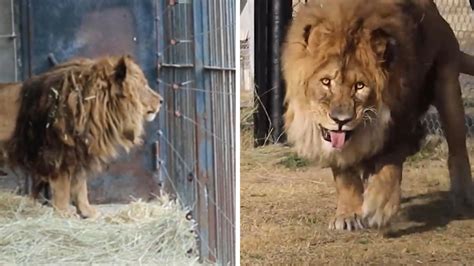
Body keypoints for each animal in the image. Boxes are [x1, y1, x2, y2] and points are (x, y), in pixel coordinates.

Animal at [4, 55, 163, 218]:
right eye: (144, 85)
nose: (162, 100)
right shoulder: (58, 153)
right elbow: (62, 188)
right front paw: (64, 212)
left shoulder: (79, 151)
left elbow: (81, 185)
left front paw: (87, 211)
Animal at [284, 0, 474, 230]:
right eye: (326, 82)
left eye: (360, 86)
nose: (340, 120)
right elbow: (345, 174)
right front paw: (347, 215)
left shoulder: (401, 120)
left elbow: (389, 164)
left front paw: (380, 206)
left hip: (447, 86)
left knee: (457, 149)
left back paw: (463, 196)